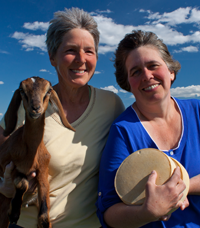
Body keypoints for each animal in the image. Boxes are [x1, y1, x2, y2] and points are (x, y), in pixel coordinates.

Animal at [0, 77, 74, 228]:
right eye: (22, 90)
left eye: (48, 90)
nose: (35, 108)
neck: (30, 154)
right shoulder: (5, 163)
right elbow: (22, 182)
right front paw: (14, 212)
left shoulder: (43, 170)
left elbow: (44, 213)